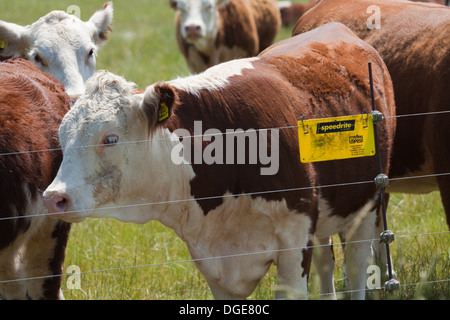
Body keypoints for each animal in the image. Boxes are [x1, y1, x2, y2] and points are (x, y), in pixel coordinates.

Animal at [42, 23, 394, 300]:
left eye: (110, 138)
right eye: (61, 137)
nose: (54, 197)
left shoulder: (294, 247)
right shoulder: (214, 262)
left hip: (368, 204)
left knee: (357, 265)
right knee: (326, 261)